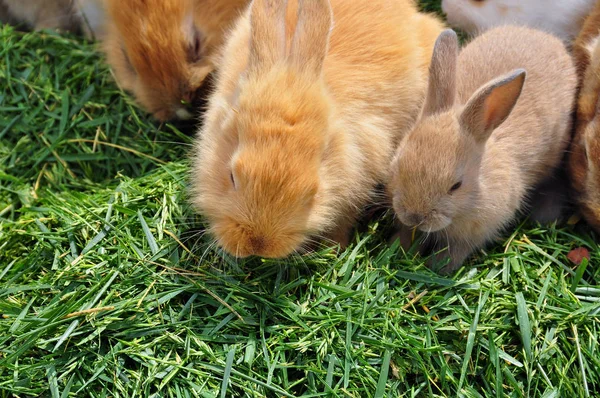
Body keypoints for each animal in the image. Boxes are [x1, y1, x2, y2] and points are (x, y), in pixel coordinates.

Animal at [390, 26, 576, 272]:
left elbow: (456, 250)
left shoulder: (477, 231)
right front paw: (400, 248)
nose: (414, 216)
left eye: (456, 186)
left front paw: (438, 267)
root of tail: (543, 35)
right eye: (397, 165)